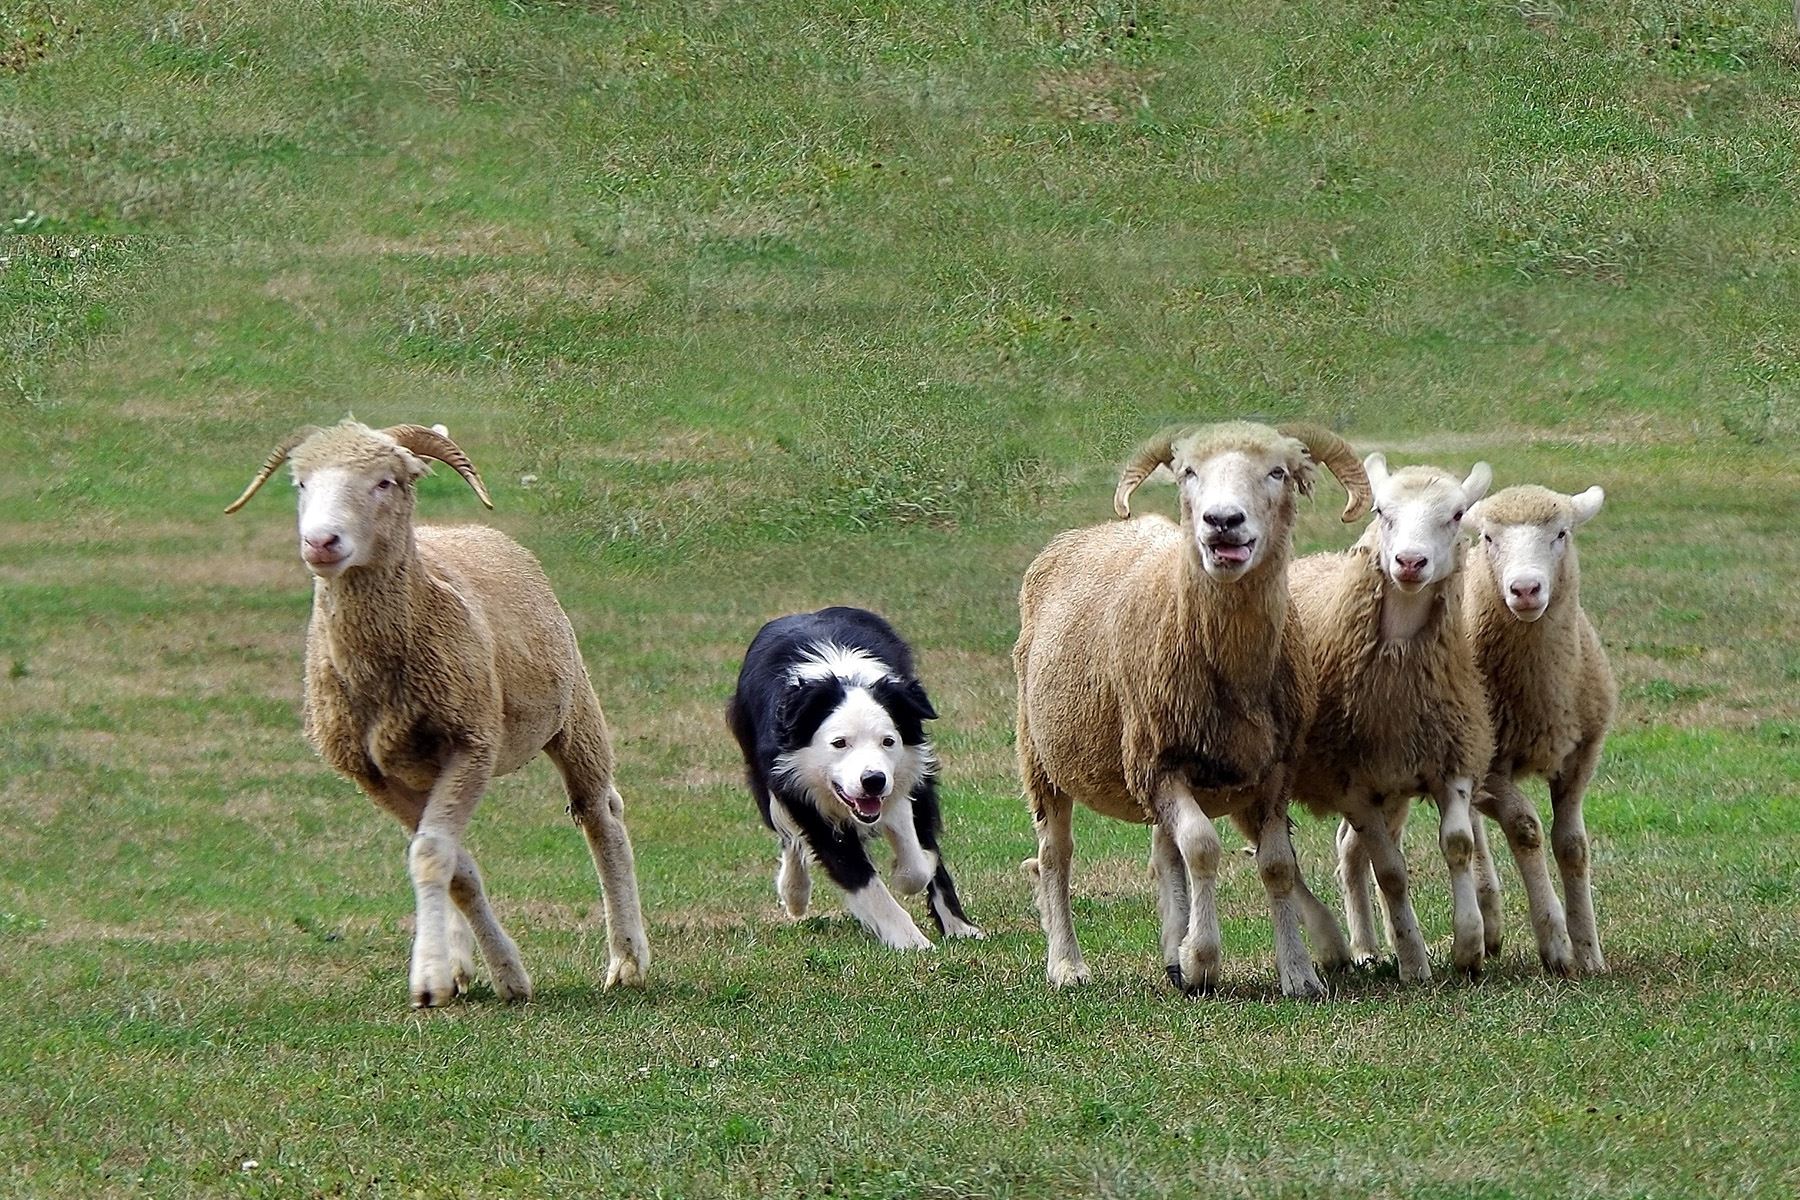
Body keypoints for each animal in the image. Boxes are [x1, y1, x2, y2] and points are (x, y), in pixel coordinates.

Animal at [223, 420, 648, 1007]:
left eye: (386, 481)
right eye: (301, 483)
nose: (321, 543)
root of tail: (467, 529)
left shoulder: (471, 742)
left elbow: (430, 854)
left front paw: (430, 980)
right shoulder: (371, 773)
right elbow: (452, 863)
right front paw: (491, 971)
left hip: (573, 711)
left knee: (599, 816)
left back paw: (627, 961)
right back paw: (466, 963)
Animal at [723, 611, 986, 949]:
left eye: (888, 741)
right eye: (839, 743)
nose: (873, 781)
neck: (845, 674)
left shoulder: (906, 777)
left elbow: (916, 863)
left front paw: (916, 869)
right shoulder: (801, 792)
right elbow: (865, 883)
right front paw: (911, 941)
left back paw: (960, 927)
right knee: (788, 834)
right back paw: (794, 893)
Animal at [1015, 417, 1375, 1000]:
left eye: (1278, 471)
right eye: (1188, 472)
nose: (1222, 521)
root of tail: (1085, 533)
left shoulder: (1274, 770)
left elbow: (1276, 865)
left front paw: (1297, 972)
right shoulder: (1158, 765)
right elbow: (1204, 849)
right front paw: (1202, 959)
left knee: (1164, 853)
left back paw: (1170, 952)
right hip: (1042, 756)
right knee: (1056, 856)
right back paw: (1067, 965)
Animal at [1288, 455, 1497, 978]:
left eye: (1457, 515)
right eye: (1381, 511)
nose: (1409, 562)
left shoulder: (1448, 757)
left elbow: (1458, 845)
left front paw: (1468, 946)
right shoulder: (1351, 783)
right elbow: (1392, 872)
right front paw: (1414, 962)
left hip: (1393, 784)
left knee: (1347, 849)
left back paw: (1366, 946)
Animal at [1461, 485, 1620, 978]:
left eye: (1561, 533)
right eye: (1488, 538)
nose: (1525, 589)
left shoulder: (1582, 757)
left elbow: (1572, 845)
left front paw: (1589, 951)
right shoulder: (1492, 772)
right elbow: (1526, 829)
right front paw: (1556, 944)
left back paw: (1488, 921)